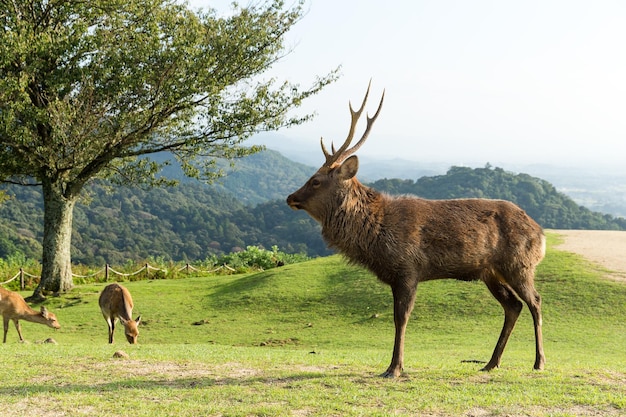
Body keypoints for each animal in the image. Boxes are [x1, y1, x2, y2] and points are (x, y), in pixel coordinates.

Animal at [286, 81, 544, 376]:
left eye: (315, 181)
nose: (290, 197)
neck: (377, 236)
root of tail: (541, 233)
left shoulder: (408, 268)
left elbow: (401, 318)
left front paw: (395, 367)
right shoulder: (398, 275)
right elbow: (397, 317)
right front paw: (393, 365)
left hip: (519, 264)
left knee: (535, 301)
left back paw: (538, 362)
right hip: (489, 271)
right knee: (513, 305)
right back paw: (491, 363)